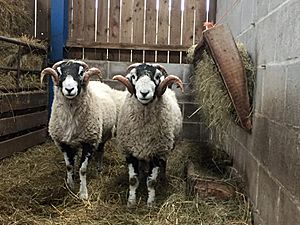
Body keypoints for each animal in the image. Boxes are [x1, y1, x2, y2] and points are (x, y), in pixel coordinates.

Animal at [40, 59, 117, 199]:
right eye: (59, 73)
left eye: (81, 73)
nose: (69, 89)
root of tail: (98, 82)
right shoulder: (63, 143)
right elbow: (69, 166)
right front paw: (70, 185)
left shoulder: (90, 142)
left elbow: (83, 169)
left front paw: (83, 193)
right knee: (75, 158)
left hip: (102, 135)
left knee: (100, 151)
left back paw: (99, 169)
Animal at [112, 62, 184, 207]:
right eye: (133, 76)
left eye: (157, 77)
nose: (144, 93)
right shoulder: (130, 152)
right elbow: (133, 180)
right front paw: (131, 202)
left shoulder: (156, 152)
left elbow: (151, 182)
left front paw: (150, 203)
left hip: (165, 148)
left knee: (163, 163)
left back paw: (162, 177)